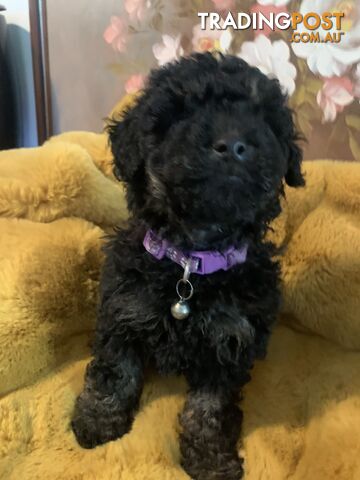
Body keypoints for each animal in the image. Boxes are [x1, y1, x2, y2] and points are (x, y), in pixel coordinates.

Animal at [71, 52, 304, 480]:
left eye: (263, 117)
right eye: (180, 114)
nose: (233, 145)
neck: (192, 263)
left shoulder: (230, 340)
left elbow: (210, 407)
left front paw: (211, 460)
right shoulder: (123, 308)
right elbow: (114, 370)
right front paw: (96, 420)